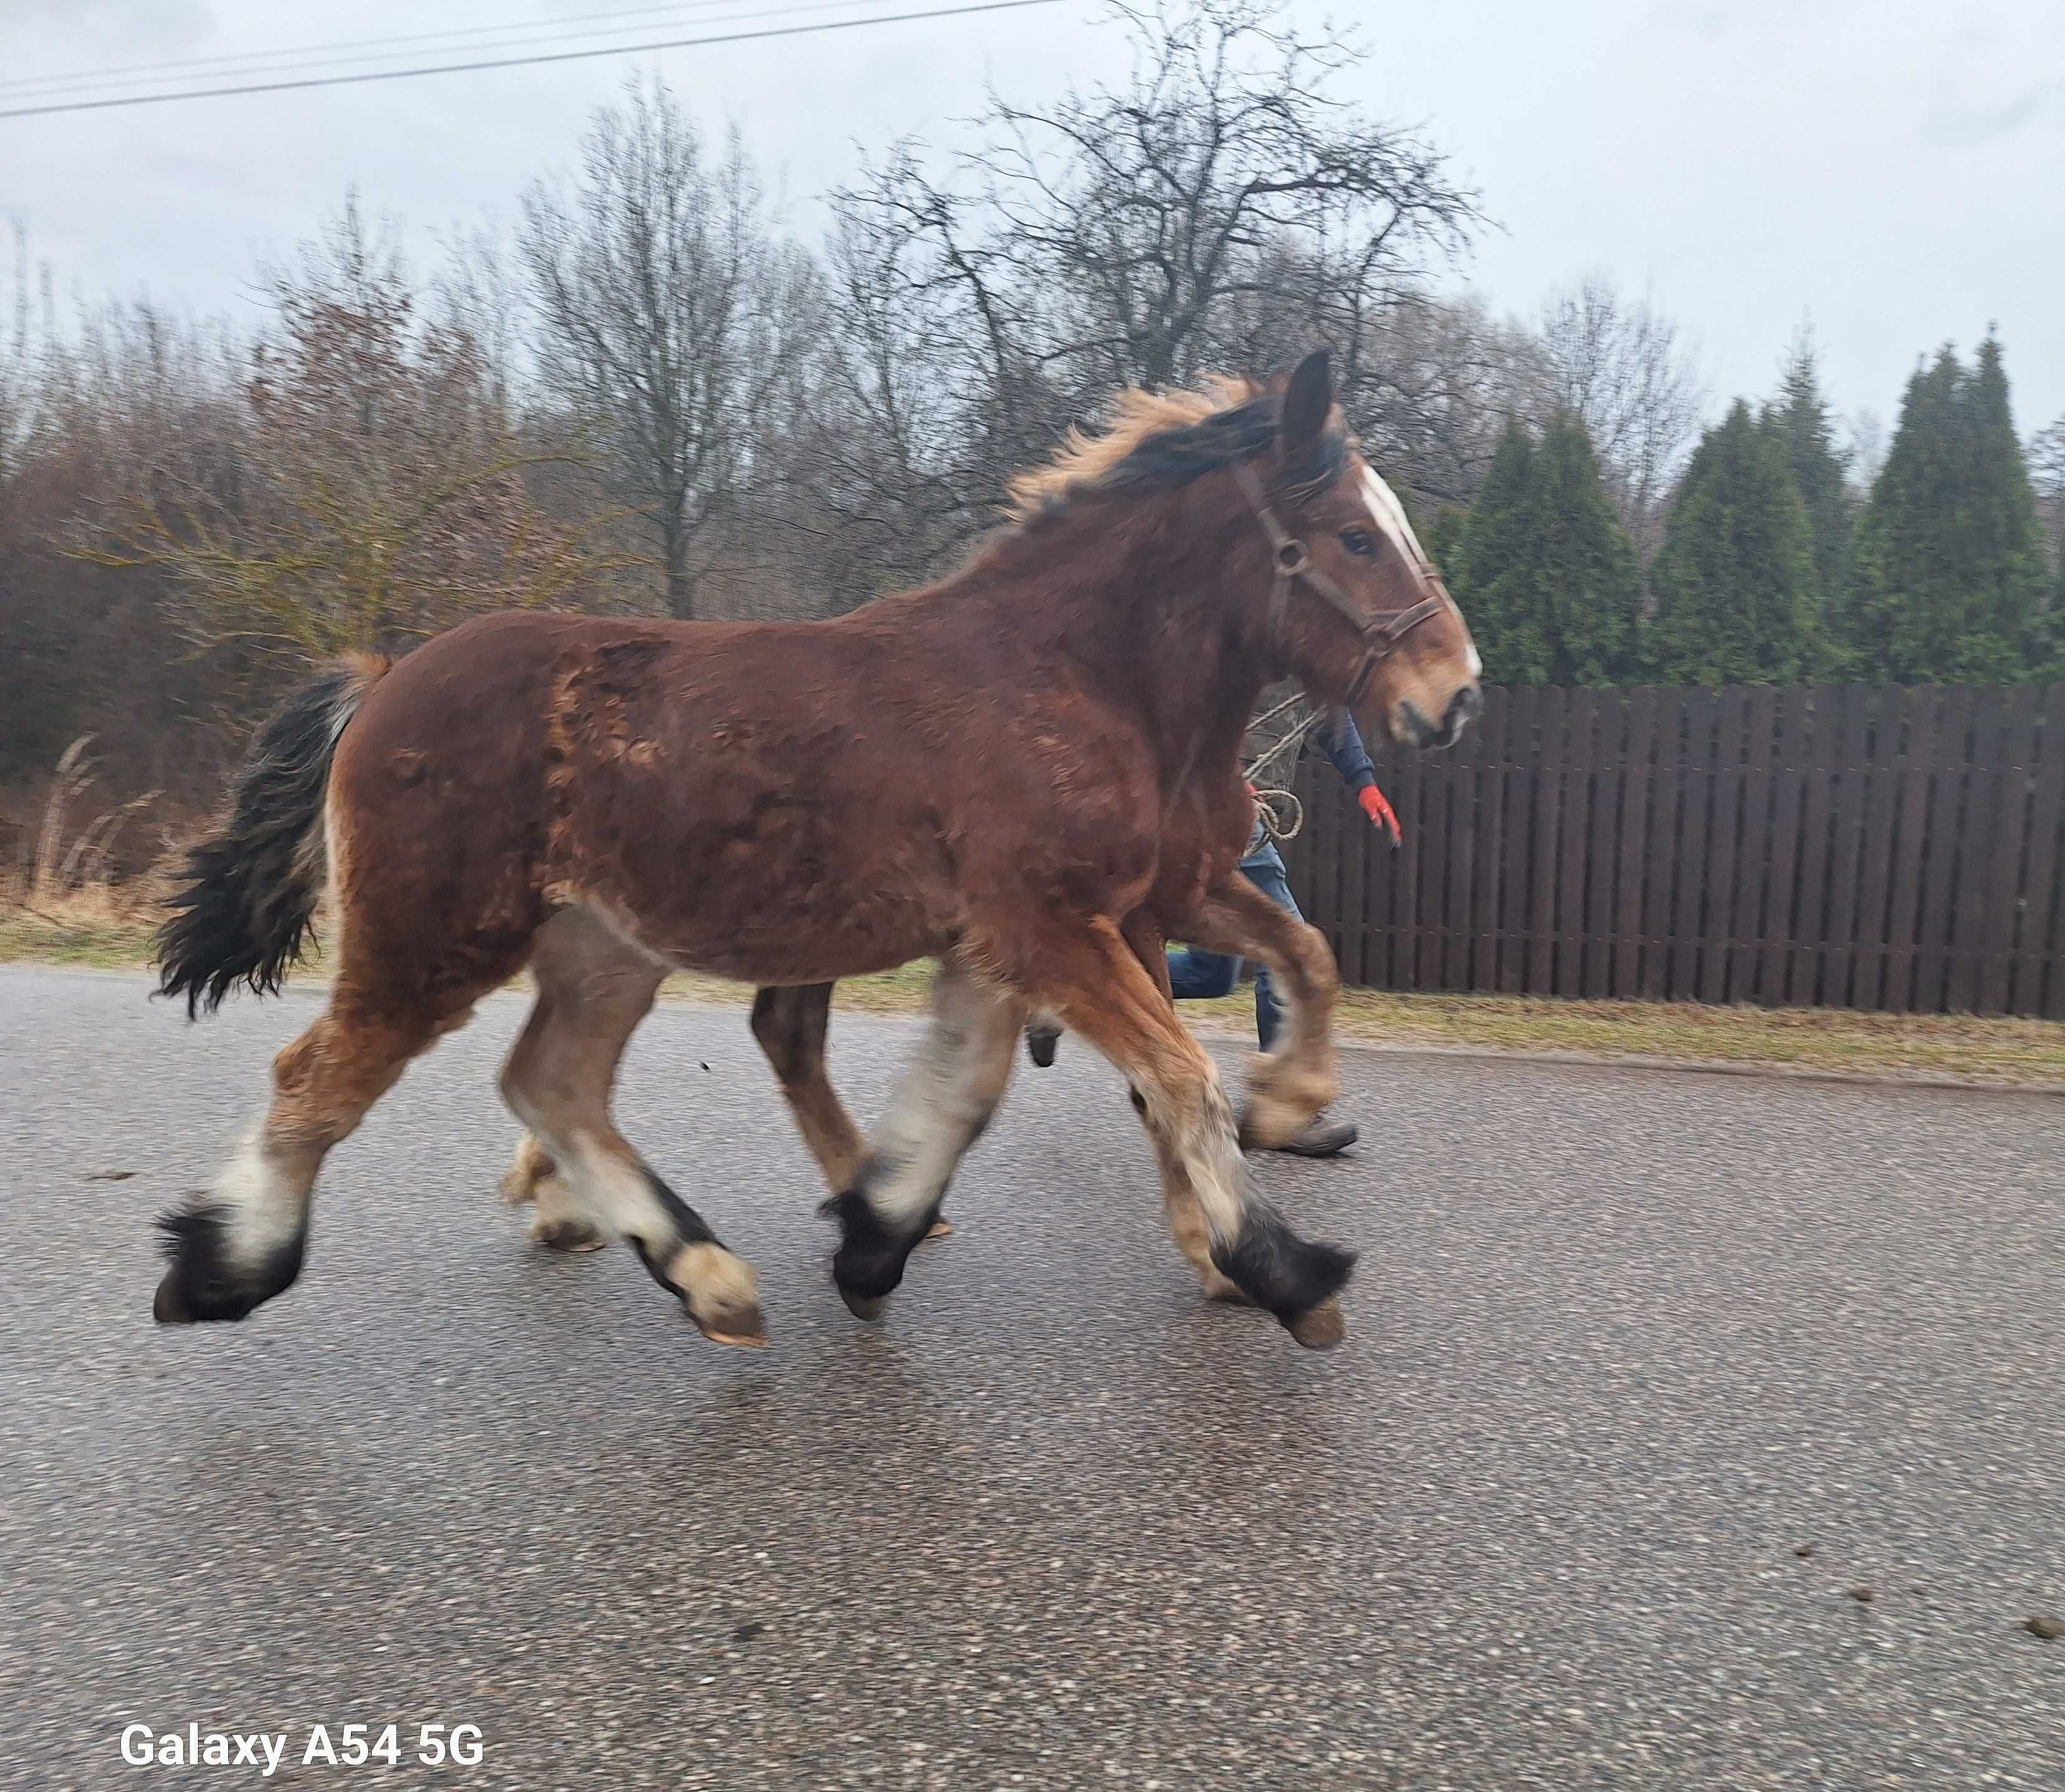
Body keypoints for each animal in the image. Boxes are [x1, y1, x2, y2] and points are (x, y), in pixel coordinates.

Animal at [156, 350, 1486, 1354]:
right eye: (1352, 538)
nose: (1454, 696)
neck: (1076, 674)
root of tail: (384, 678)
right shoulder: (1052, 922)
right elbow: (1173, 1076)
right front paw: (1280, 1265)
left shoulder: (1084, 917)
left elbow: (1271, 971)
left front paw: (879, 1231)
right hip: (433, 938)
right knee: (317, 1081)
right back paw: (223, 1267)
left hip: (603, 946)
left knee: (553, 1081)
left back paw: (701, 1271)